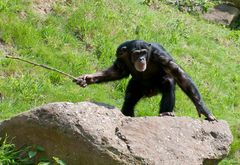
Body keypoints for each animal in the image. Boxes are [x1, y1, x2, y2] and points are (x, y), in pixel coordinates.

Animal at [73, 39, 216, 120]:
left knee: (168, 82)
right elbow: (118, 71)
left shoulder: (159, 54)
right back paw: (127, 114)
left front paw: (202, 108)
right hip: (137, 87)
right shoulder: (120, 52)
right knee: (130, 97)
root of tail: (150, 92)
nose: (141, 59)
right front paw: (88, 78)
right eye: (136, 53)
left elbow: (177, 72)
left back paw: (166, 113)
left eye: (143, 53)